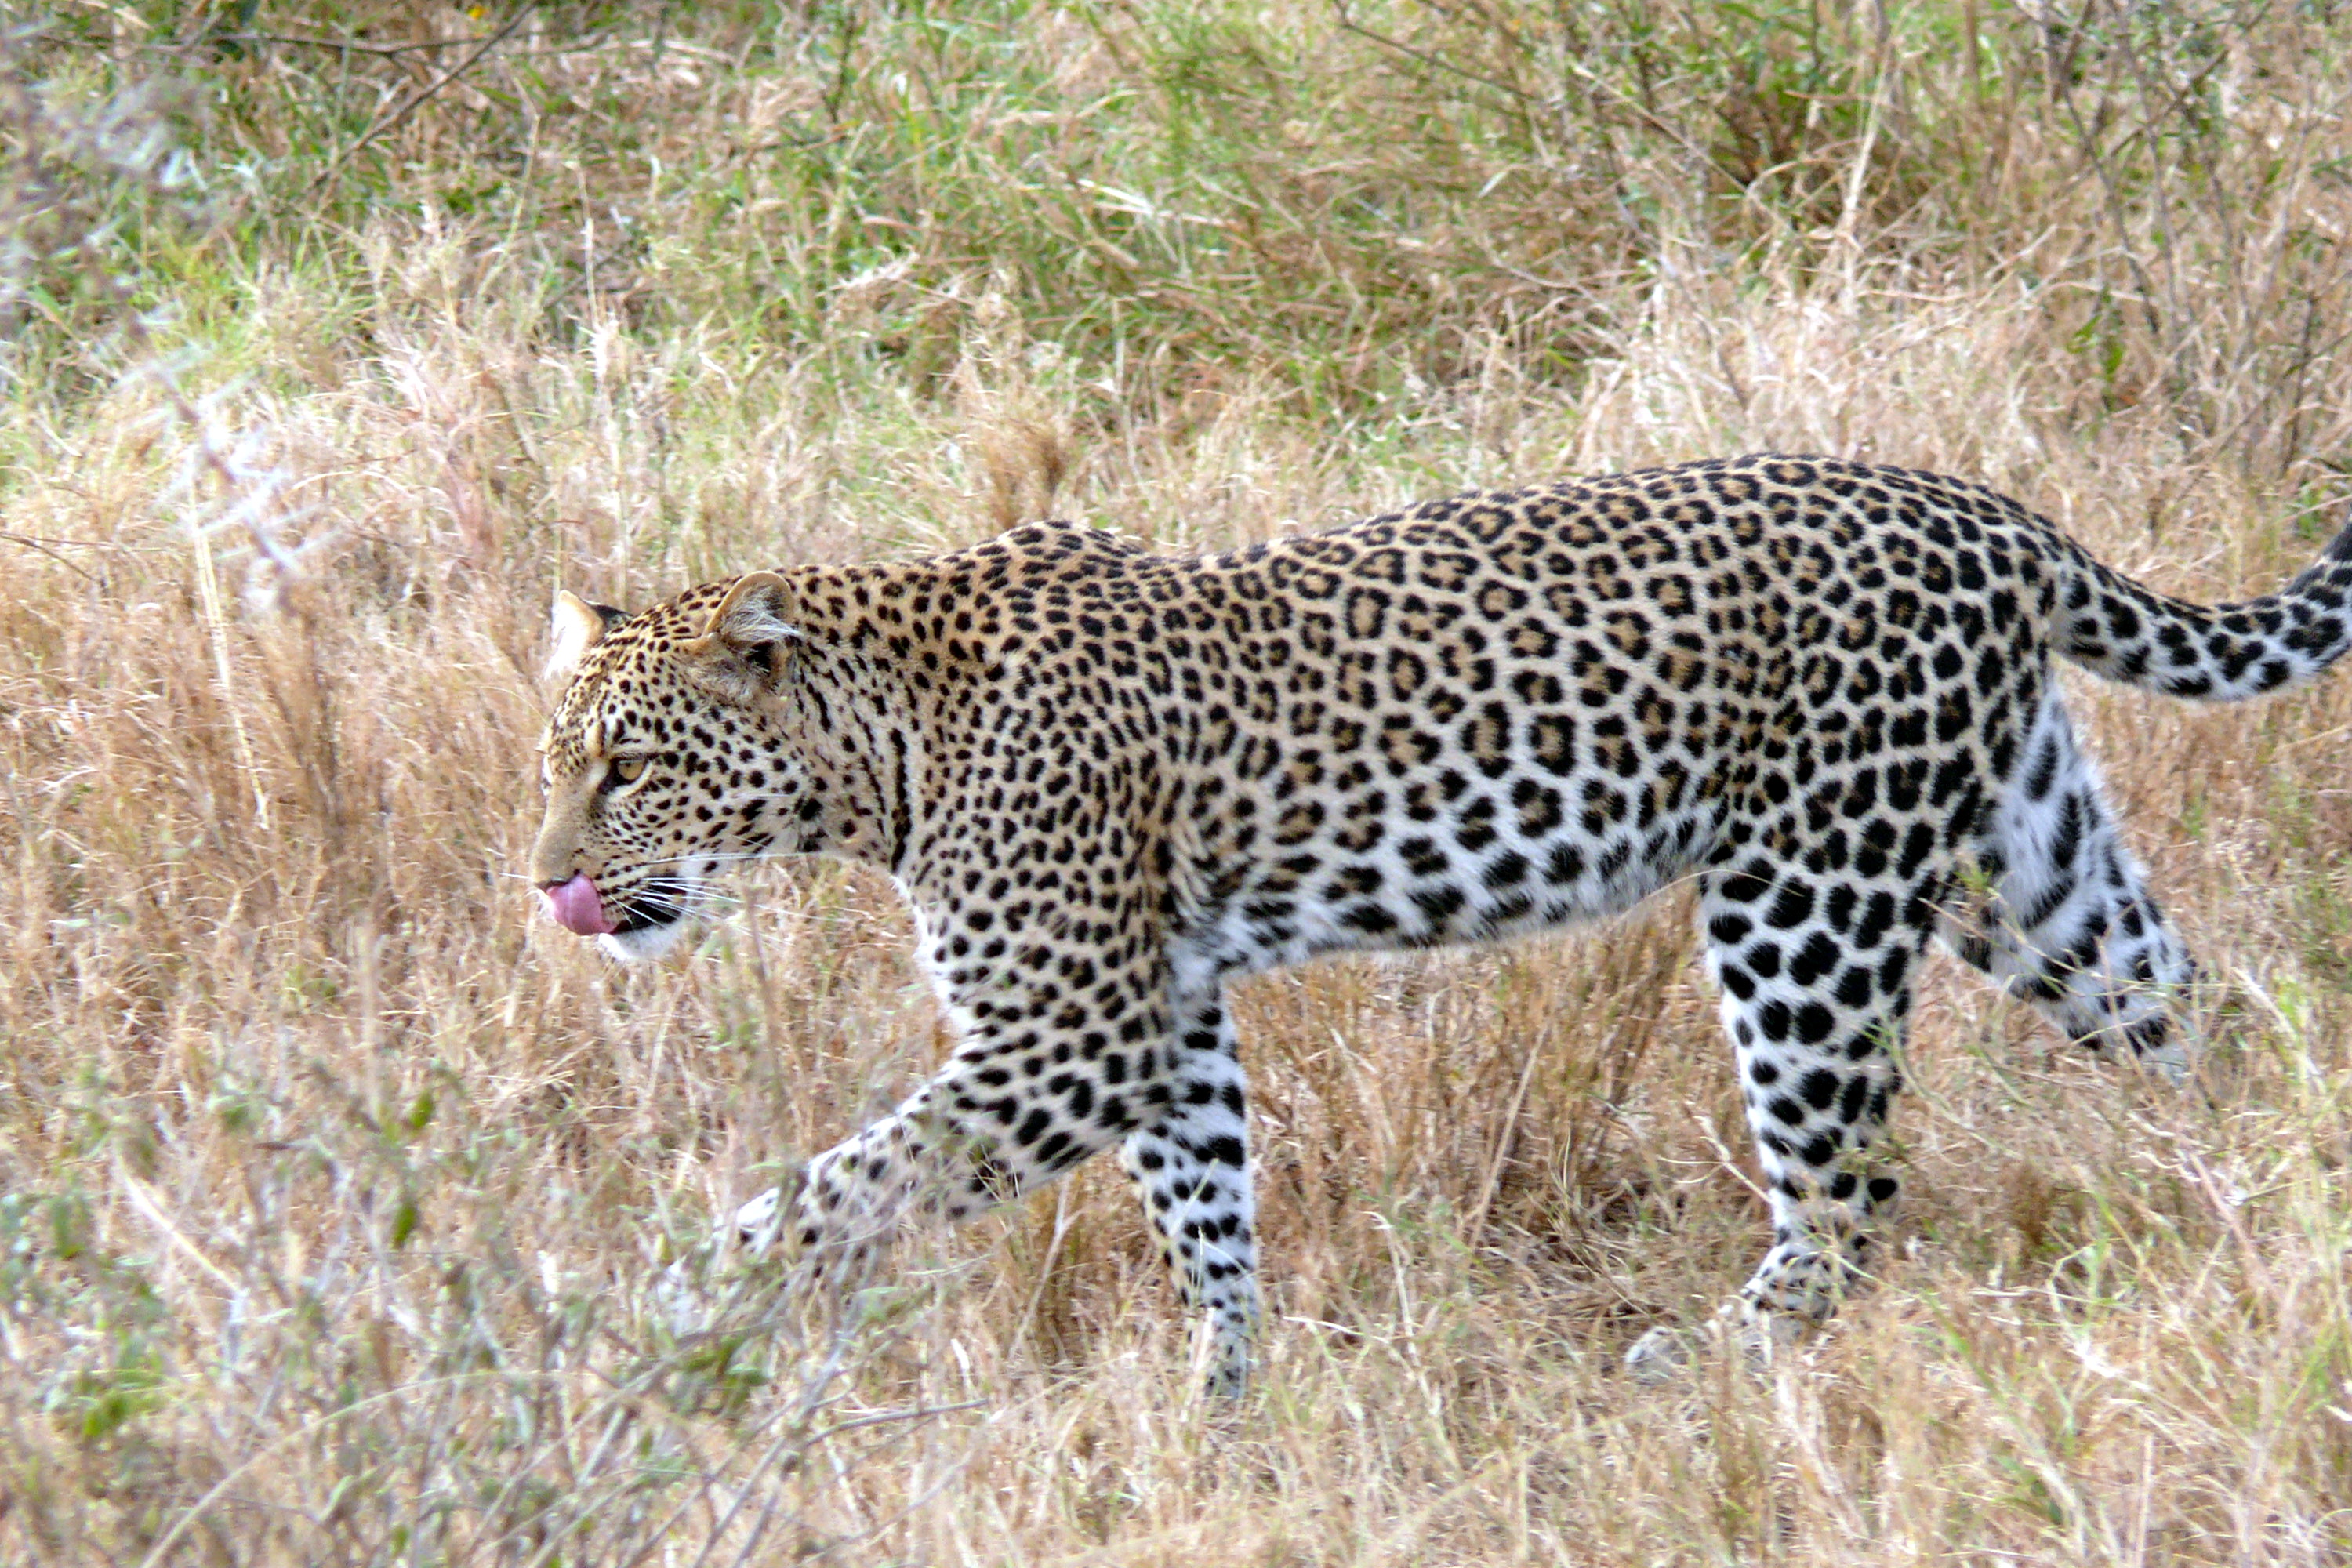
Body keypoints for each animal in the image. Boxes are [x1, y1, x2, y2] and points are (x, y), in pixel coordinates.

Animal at [529, 454, 2352, 1393]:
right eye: (558, 763)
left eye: (628, 767)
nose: (547, 885)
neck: (881, 753)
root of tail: (1988, 510)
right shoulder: (1165, 1020)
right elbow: (1208, 1218)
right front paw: (1222, 1409)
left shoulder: (1069, 1037)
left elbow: (837, 1190)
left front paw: (657, 1318)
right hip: (2021, 864)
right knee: (2195, 1010)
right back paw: (2266, 1211)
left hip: (1805, 896)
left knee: (1847, 1192)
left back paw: (1700, 1363)